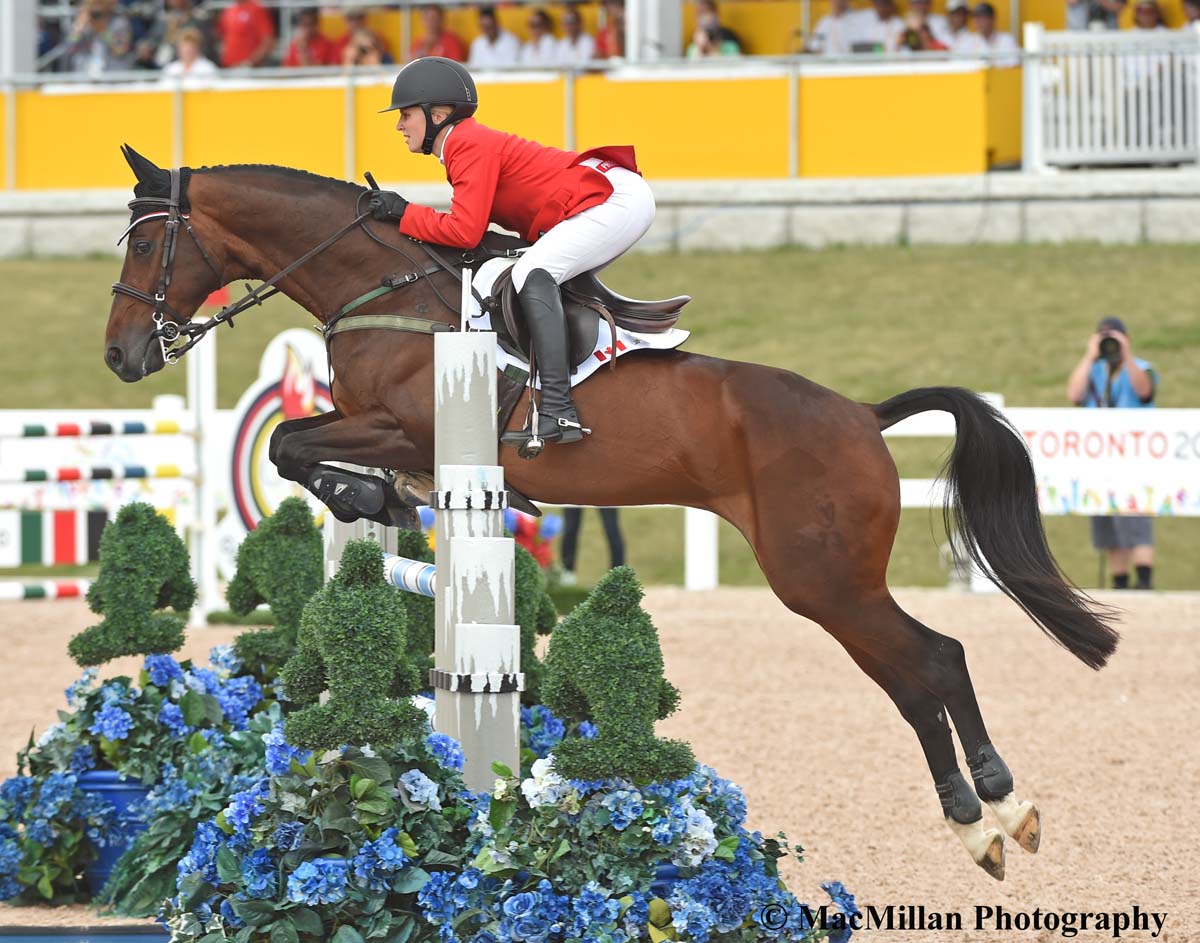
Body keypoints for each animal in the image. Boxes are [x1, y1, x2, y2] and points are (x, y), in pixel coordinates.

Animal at [105, 145, 1123, 873]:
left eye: (148, 244)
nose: (120, 356)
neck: (379, 290)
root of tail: (862, 415)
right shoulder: (380, 428)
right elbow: (295, 444)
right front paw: (370, 496)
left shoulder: (405, 427)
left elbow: (290, 443)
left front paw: (363, 491)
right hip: (829, 582)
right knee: (924, 667)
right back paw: (996, 815)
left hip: (821, 578)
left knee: (928, 664)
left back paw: (991, 815)